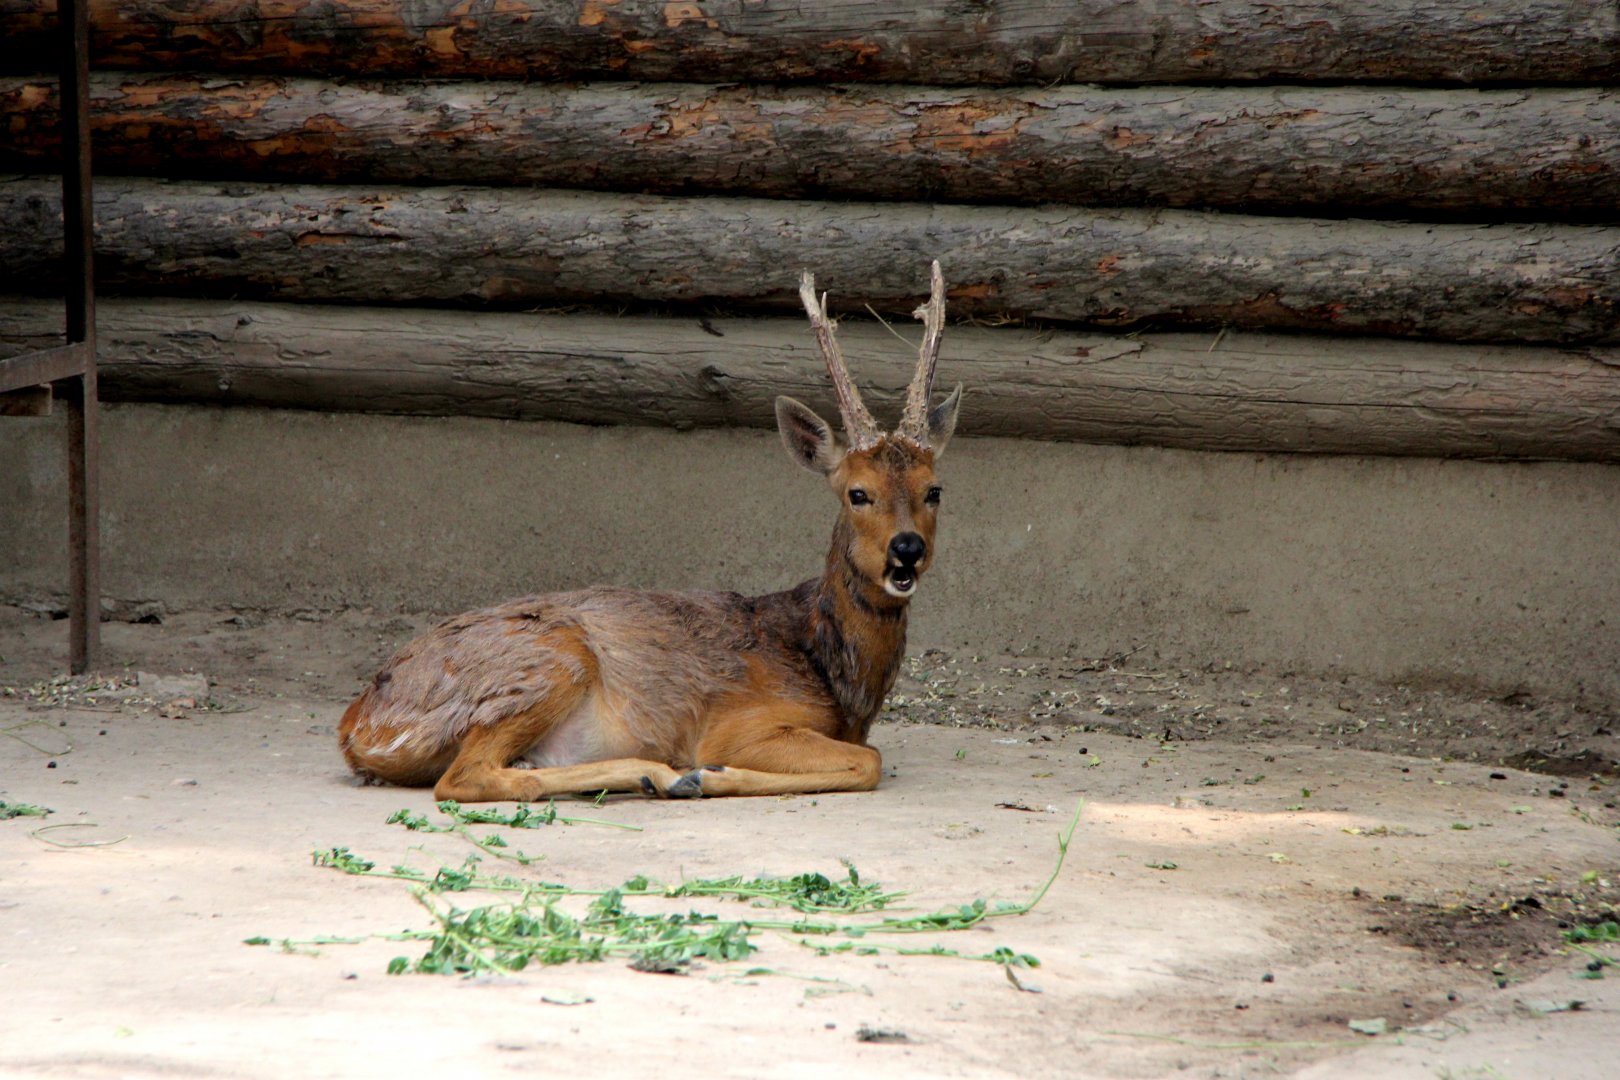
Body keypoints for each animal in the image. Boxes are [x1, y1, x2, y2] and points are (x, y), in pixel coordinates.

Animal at [338, 262, 962, 802]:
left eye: (935, 489)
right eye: (857, 492)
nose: (907, 549)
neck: (831, 670)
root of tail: (356, 726)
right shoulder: (744, 723)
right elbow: (869, 761)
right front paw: (713, 774)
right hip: (548, 662)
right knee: (466, 777)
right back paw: (665, 775)